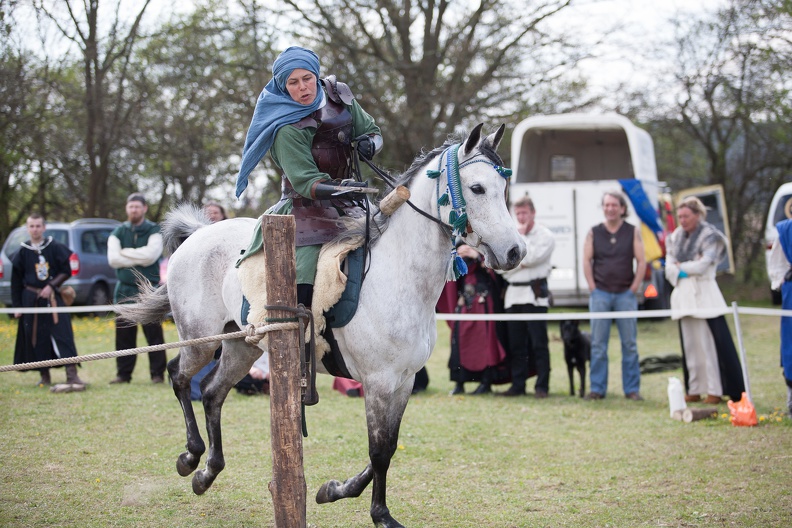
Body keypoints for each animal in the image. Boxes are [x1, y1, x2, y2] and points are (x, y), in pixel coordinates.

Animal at [119, 125, 524, 528]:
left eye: (503, 187)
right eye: (477, 188)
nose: (515, 252)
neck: (398, 275)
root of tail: (198, 234)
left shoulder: (403, 381)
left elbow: (389, 446)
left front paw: (335, 489)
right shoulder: (379, 383)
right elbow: (379, 450)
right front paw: (380, 514)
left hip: (242, 346)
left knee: (212, 392)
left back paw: (207, 472)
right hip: (201, 340)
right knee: (180, 376)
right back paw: (190, 457)